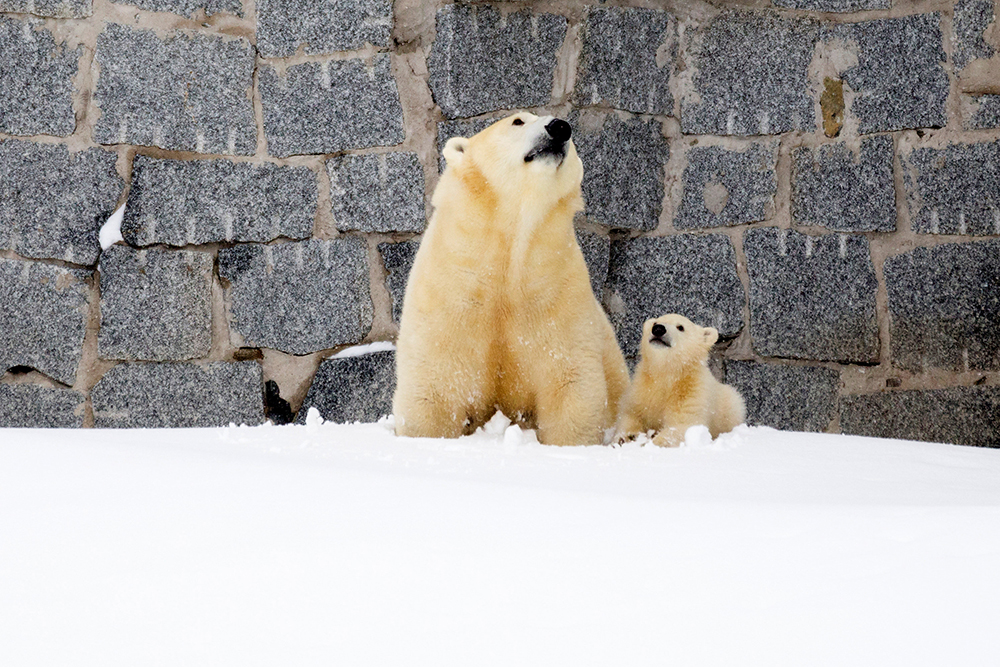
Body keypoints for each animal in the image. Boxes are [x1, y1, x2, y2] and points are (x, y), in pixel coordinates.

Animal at [392, 112, 629, 446]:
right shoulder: (452, 287)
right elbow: (436, 386)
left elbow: (569, 383)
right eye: (517, 121)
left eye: (568, 133)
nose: (560, 127)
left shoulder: (555, 290)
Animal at [615, 314, 745, 448]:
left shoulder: (691, 391)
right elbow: (630, 413)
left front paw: (651, 443)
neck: (669, 373)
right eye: (655, 322)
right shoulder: (642, 388)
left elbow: (682, 426)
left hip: (732, 405)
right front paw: (627, 437)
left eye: (680, 327)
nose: (658, 329)